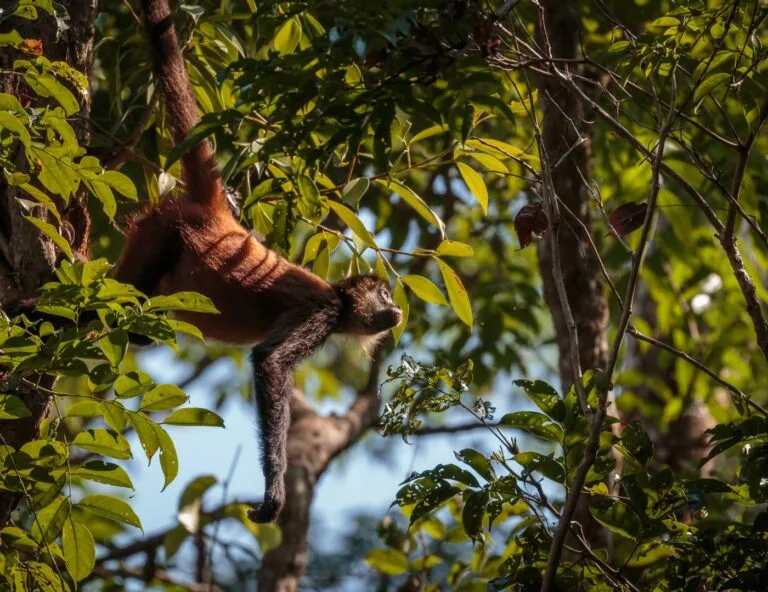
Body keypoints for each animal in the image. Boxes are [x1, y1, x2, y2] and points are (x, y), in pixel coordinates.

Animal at [6, 0, 402, 524]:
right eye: (385, 293)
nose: (397, 309)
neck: (338, 297)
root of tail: (218, 218)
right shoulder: (321, 310)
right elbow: (269, 364)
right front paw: (274, 490)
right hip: (163, 231)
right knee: (107, 307)